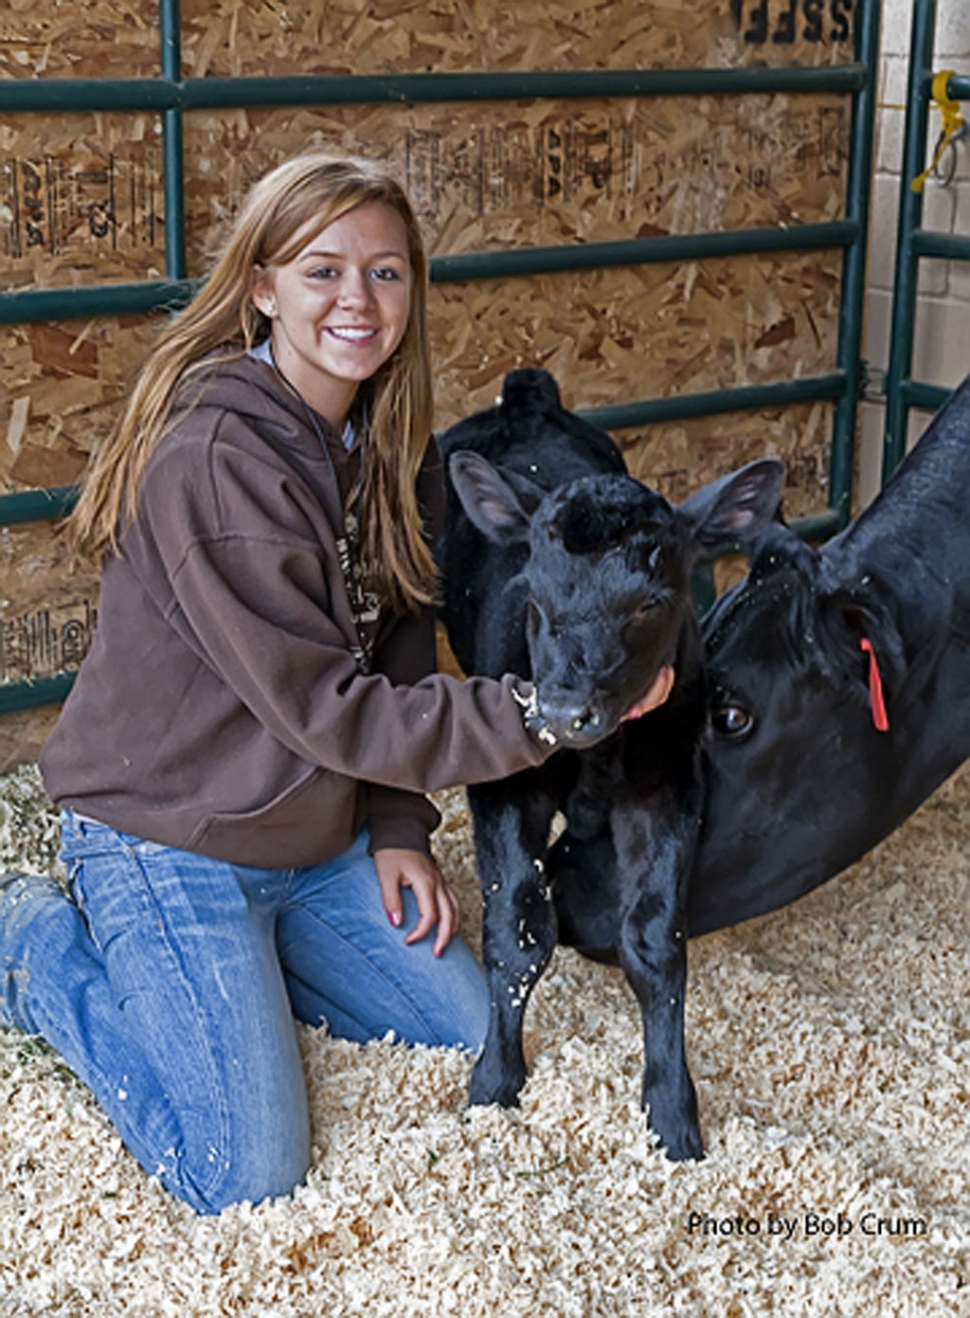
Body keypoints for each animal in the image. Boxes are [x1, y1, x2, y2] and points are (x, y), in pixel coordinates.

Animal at [434, 366, 785, 1159]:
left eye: (651, 603)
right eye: (533, 596)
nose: (564, 712)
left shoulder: (668, 786)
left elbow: (655, 945)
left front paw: (673, 1112)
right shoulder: (503, 787)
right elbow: (516, 930)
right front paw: (495, 1082)